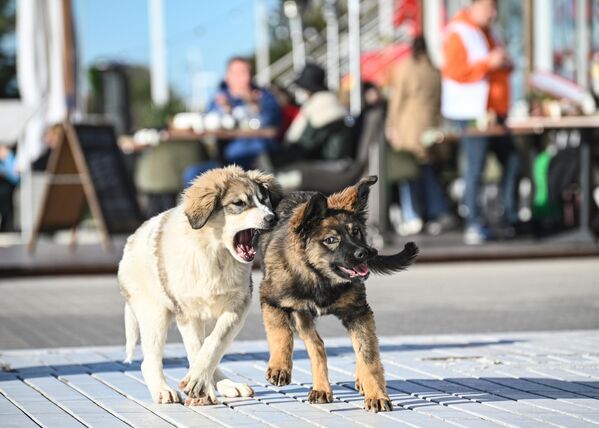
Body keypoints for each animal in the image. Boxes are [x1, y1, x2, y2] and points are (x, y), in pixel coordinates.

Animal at [120, 166, 284, 404]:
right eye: (239, 203)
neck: (215, 254)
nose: (272, 218)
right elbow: (197, 348)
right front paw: (198, 384)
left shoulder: (237, 307)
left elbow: (215, 343)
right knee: (149, 360)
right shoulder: (188, 312)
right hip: (154, 314)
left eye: (265, 201)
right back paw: (163, 390)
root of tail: (132, 238)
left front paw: (200, 381)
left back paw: (226, 385)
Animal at [258, 176, 418, 412]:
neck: (320, 279)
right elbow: (281, 333)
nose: (365, 253)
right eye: (331, 240)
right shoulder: (271, 300)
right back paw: (321, 388)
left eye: (356, 232)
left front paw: (376, 394)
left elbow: (368, 355)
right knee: (316, 345)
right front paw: (280, 367)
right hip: (301, 315)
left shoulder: (358, 312)